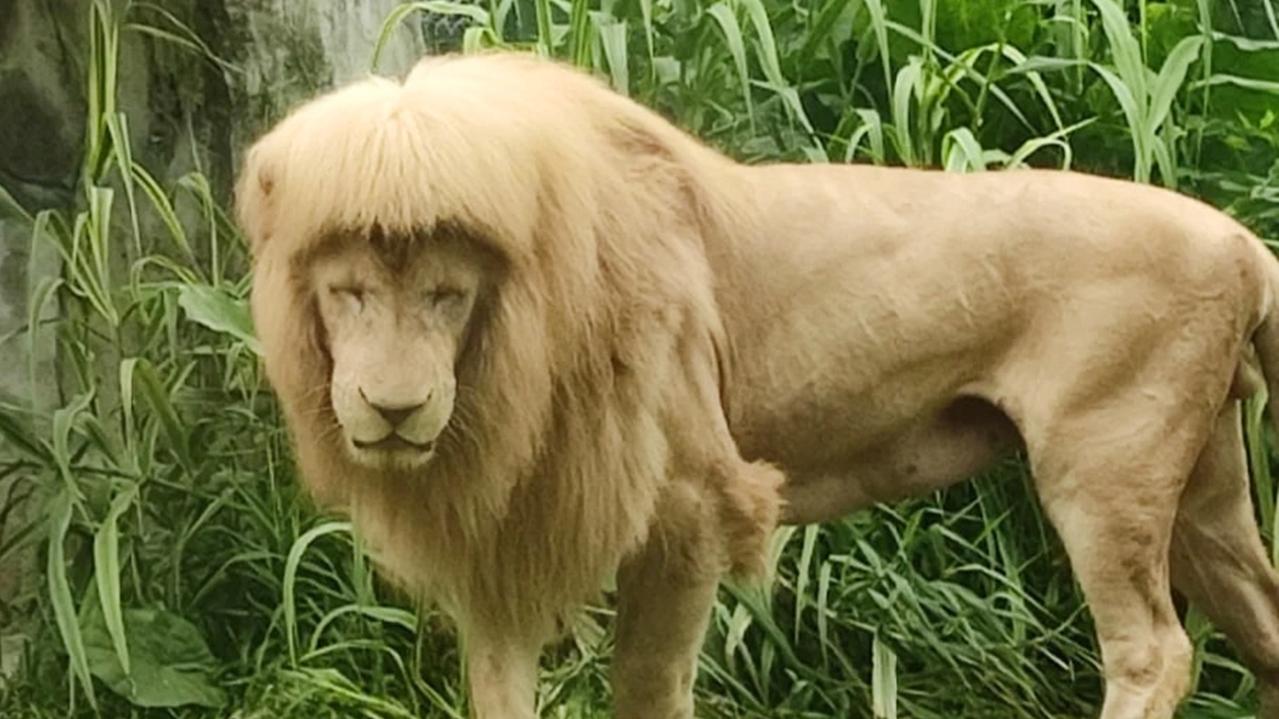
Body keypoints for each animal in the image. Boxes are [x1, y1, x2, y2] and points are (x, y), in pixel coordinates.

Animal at [241, 51, 1279, 716]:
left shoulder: (692, 507)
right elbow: (499, 694)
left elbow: (647, 690)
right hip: (1202, 488)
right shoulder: (505, 534)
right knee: (1264, 625)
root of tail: (1240, 242)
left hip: (1102, 469)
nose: (393, 408)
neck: (514, 356)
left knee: (1153, 652)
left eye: (448, 294)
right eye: (348, 292)